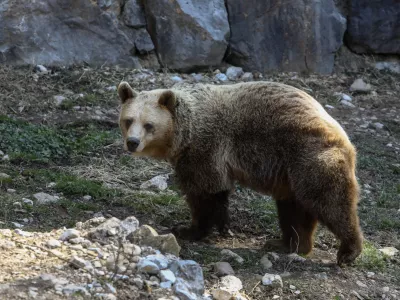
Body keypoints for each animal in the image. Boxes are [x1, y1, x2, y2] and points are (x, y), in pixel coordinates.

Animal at [115, 80, 362, 264]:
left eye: (149, 124)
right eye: (128, 120)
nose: (132, 142)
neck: (184, 134)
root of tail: (345, 139)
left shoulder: (205, 148)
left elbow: (204, 191)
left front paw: (189, 229)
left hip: (309, 158)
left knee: (330, 203)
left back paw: (348, 250)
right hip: (291, 175)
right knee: (294, 208)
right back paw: (289, 244)